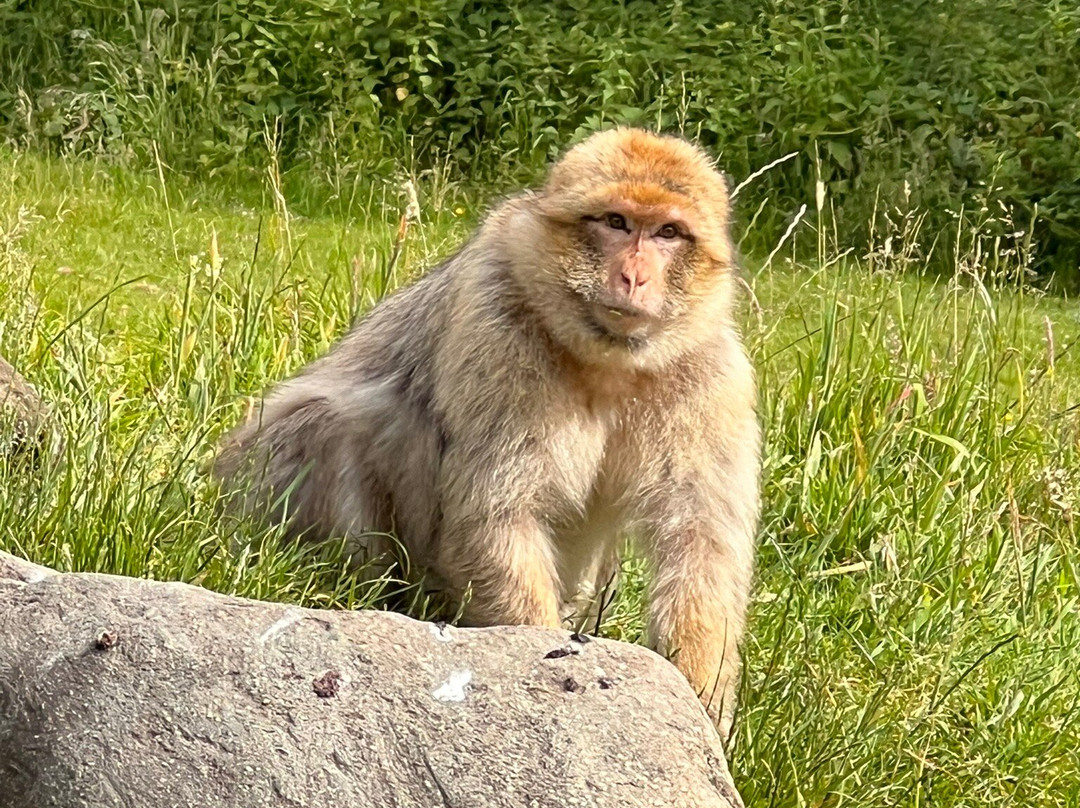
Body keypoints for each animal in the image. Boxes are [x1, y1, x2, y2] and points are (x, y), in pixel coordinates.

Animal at [214, 128, 760, 738]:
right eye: (616, 222)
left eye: (668, 232)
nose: (635, 275)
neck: (605, 364)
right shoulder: (496, 329)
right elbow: (495, 515)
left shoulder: (712, 377)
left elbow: (701, 547)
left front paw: (702, 709)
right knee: (323, 424)